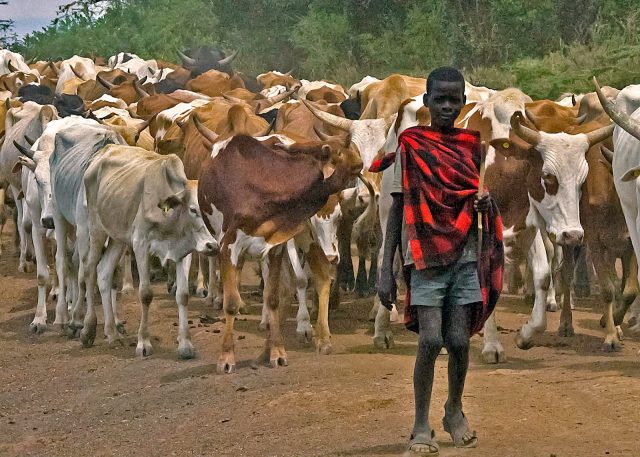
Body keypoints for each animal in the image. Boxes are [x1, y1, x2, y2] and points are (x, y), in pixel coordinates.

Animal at [83, 143, 218, 356]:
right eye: (193, 209)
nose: (212, 245)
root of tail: (106, 149)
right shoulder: (140, 244)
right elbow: (145, 294)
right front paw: (143, 342)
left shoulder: (184, 251)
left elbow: (183, 295)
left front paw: (185, 344)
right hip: (97, 229)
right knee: (89, 271)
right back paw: (88, 330)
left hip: (118, 238)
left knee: (103, 273)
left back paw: (112, 334)